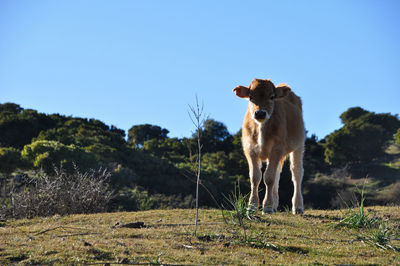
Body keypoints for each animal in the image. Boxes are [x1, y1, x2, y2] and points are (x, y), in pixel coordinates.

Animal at [233, 78, 304, 215]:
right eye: (250, 97)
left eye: (272, 97)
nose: (260, 113)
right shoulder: (250, 149)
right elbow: (255, 177)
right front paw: (252, 206)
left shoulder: (277, 148)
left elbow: (269, 178)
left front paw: (267, 207)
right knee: (277, 173)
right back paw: (275, 203)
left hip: (299, 146)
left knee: (296, 173)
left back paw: (298, 207)